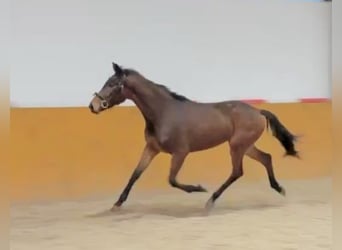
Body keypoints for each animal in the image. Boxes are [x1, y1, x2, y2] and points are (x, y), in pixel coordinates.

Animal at [89, 62, 300, 211]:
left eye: (112, 84)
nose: (93, 106)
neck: (163, 113)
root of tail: (258, 111)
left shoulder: (181, 152)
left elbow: (172, 180)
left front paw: (198, 188)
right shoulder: (152, 148)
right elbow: (136, 173)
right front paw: (117, 204)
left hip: (236, 146)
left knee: (237, 172)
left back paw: (210, 201)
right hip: (245, 146)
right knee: (265, 158)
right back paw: (279, 188)